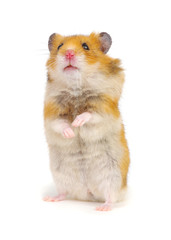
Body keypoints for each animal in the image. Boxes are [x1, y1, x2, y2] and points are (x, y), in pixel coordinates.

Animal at [43, 32, 130, 212]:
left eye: (85, 46)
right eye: (60, 46)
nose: (69, 53)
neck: (76, 87)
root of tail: (88, 194)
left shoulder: (104, 108)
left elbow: (89, 115)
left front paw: (76, 123)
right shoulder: (52, 112)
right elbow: (60, 124)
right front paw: (70, 133)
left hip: (113, 177)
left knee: (111, 196)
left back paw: (103, 208)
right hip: (60, 176)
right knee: (63, 192)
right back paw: (50, 198)